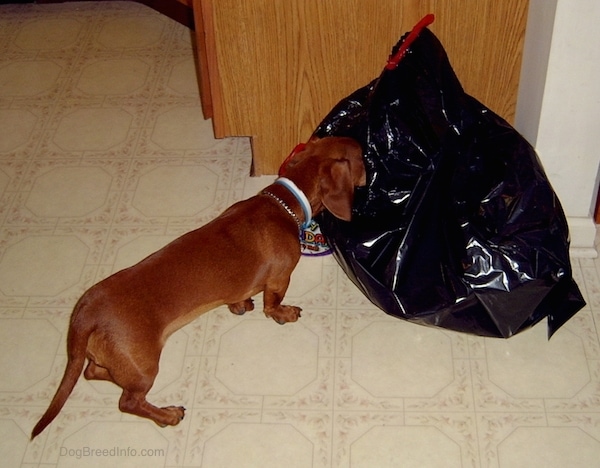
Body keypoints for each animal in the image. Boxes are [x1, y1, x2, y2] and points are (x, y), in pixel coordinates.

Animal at [31, 135, 366, 438]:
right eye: (362, 156)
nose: (372, 164)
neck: (282, 204)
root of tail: (86, 312)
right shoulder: (280, 278)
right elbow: (272, 304)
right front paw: (283, 313)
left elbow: (239, 296)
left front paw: (240, 304)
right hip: (145, 367)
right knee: (129, 402)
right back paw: (167, 415)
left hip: (118, 363)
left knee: (92, 371)